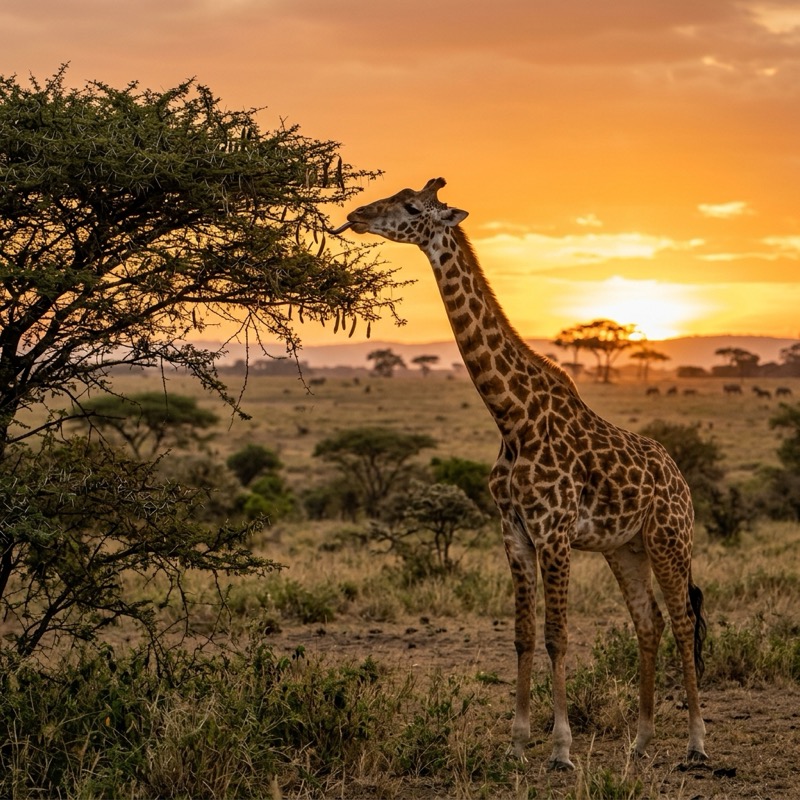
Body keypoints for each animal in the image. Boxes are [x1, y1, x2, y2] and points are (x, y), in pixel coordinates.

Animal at [332, 178, 708, 769]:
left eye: (413, 206)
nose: (357, 215)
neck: (511, 416)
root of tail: (679, 477)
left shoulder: (552, 531)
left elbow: (557, 635)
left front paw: (561, 748)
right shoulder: (513, 530)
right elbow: (523, 635)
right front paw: (516, 742)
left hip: (670, 537)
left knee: (683, 620)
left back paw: (695, 742)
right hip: (624, 547)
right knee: (648, 621)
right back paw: (643, 740)